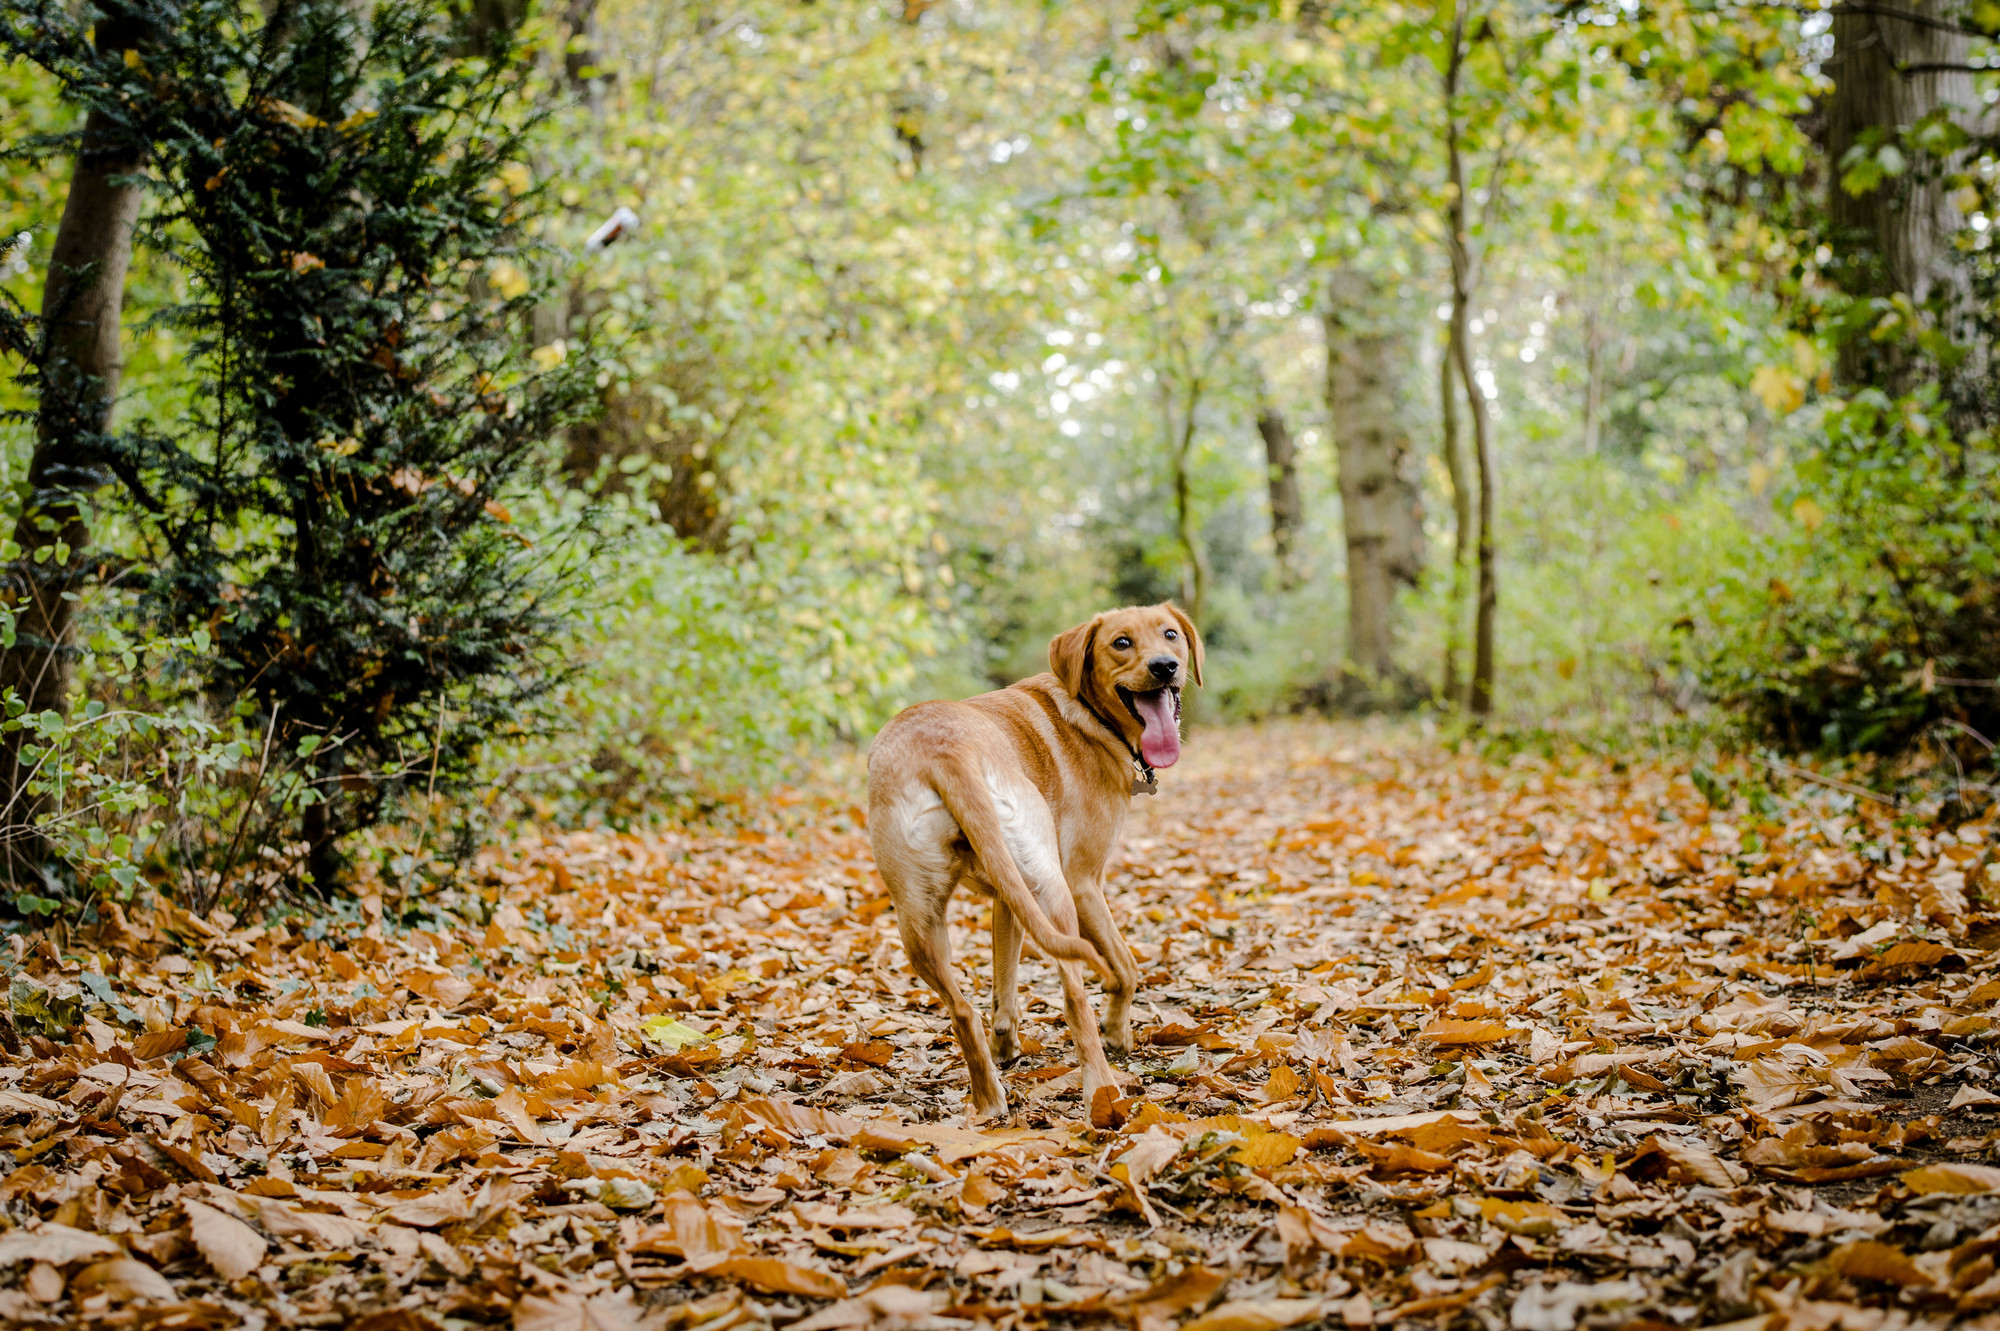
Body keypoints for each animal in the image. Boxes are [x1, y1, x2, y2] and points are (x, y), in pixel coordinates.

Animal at [864, 607, 1200, 1111]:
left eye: (1171, 634)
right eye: (1121, 643)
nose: (1165, 666)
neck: (1089, 714)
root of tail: (947, 752)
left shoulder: (1008, 901)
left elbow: (1004, 987)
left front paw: (1006, 1044)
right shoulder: (1083, 883)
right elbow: (1125, 969)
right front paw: (1117, 1032)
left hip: (919, 918)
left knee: (962, 1011)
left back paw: (989, 1100)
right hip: (1053, 892)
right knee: (1074, 996)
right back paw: (1102, 1089)